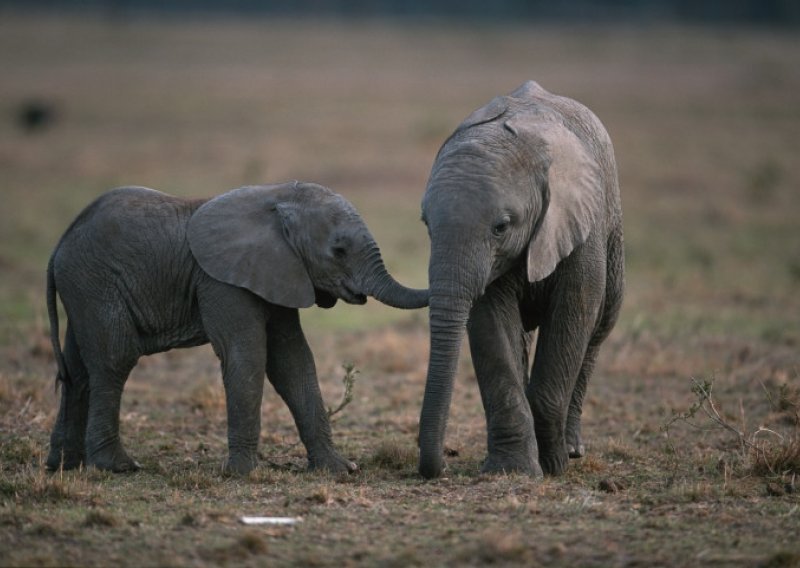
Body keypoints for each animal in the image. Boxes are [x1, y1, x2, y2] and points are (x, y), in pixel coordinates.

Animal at [47, 181, 428, 474]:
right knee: (115, 360)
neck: (277, 198)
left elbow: (293, 361)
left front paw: (338, 470)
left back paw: (64, 466)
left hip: (83, 288)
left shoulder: (280, 271)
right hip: (96, 284)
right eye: (339, 250)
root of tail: (59, 245)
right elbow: (247, 355)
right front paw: (242, 473)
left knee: (77, 371)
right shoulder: (221, 281)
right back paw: (118, 467)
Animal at [418, 81, 624, 480]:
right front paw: (512, 470)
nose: (437, 466)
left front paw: (553, 465)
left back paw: (572, 449)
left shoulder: (580, 227)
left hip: (612, 229)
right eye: (426, 225)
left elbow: (574, 313)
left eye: (501, 227)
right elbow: (492, 328)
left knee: (598, 330)